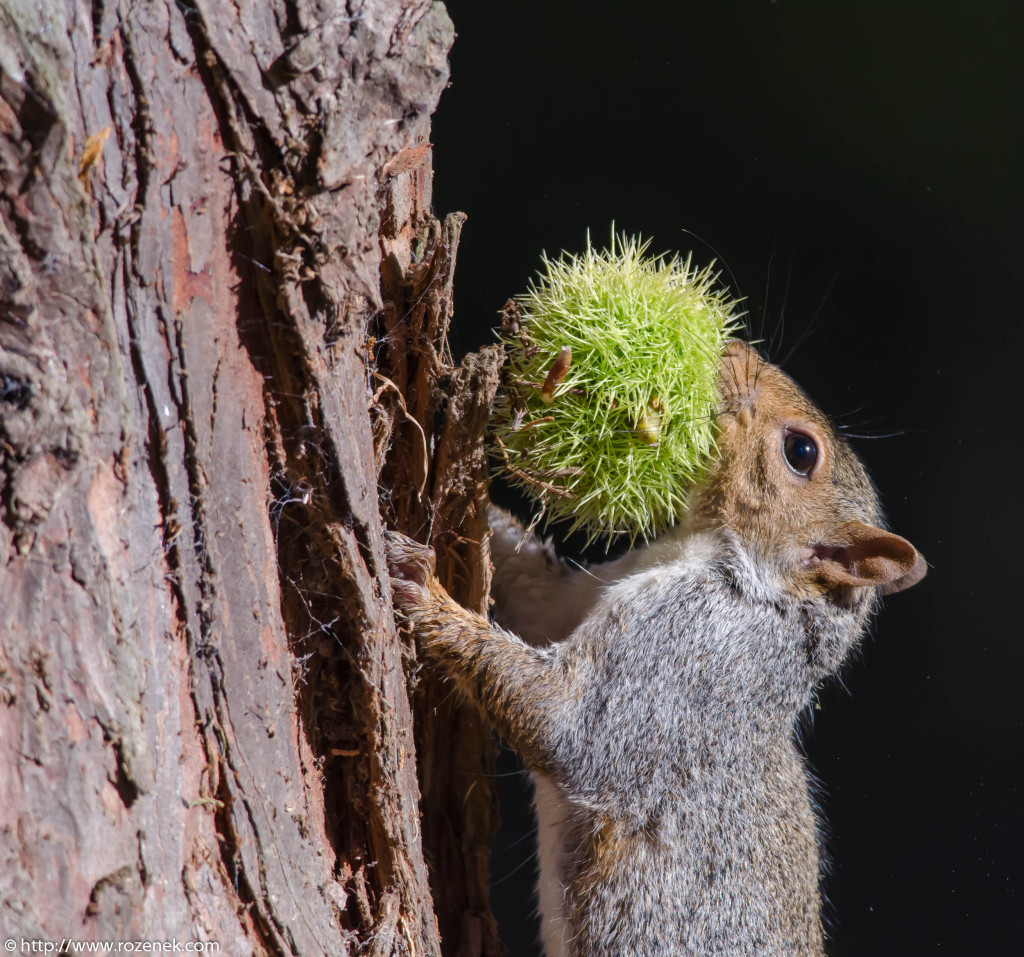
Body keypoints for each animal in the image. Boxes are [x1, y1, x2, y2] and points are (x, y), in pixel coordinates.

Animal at [385, 343, 929, 957]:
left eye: (801, 452)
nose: (734, 349)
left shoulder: (678, 654)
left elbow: (563, 723)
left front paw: (426, 593)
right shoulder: (584, 597)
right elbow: (538, 591)